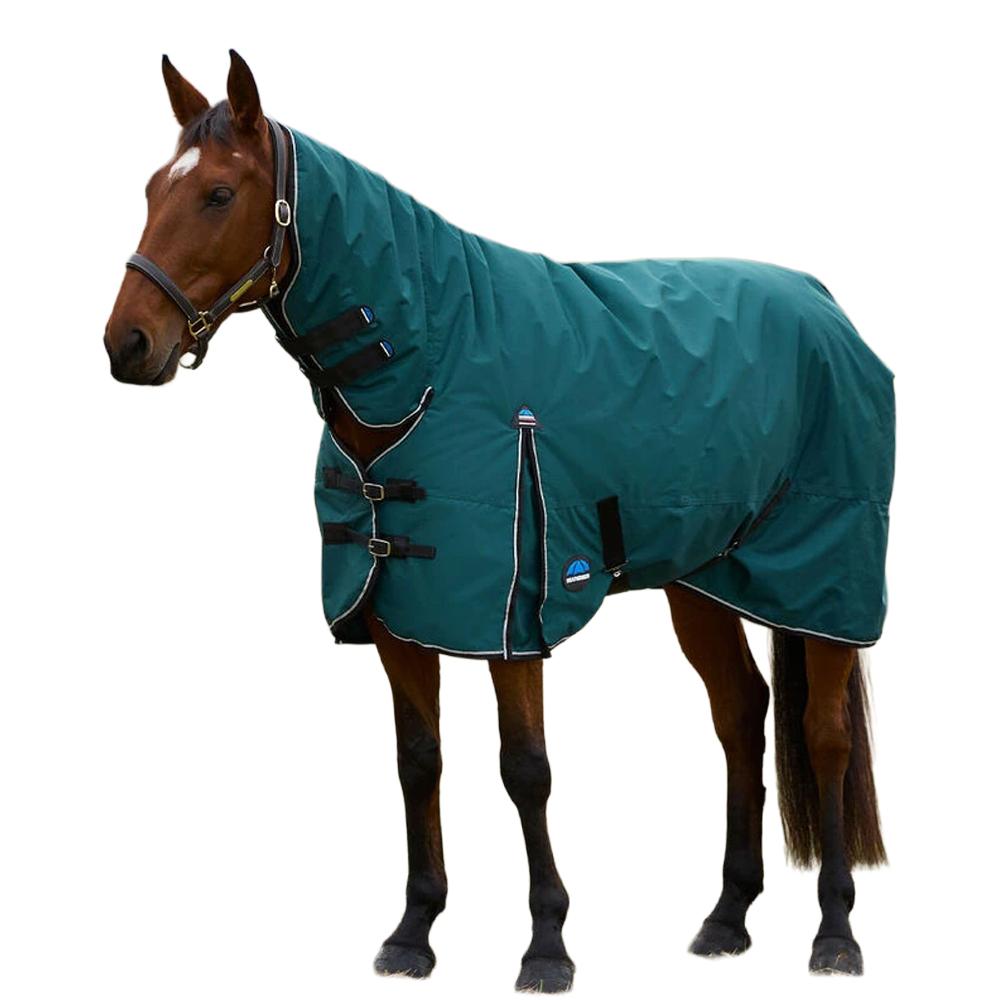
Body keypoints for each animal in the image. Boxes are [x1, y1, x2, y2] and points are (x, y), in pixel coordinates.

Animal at [104, 50, 891, 989]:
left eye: (219, 194)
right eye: (153, 187)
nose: (126, 345)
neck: (431, 364)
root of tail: (826, 304)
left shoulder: (513, 614)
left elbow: (526, 770)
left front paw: (547, 946)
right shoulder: (401, 612)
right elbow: (418, 763)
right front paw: (414, 931)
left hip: (822, 579)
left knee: (823, 736)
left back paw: (836, 934)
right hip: (703, 579)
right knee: (741, 715)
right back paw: (727, 917)